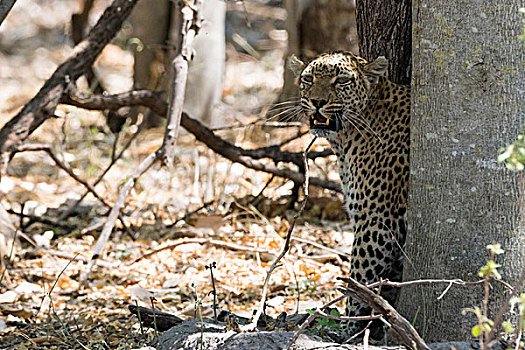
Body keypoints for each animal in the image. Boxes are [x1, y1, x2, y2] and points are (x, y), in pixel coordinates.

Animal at [290, 50, 410, 338]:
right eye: (308, 79)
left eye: (342, 80)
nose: (318, 101)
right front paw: (380, 324)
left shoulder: (377, 220)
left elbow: (359, 277)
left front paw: (347, 328)